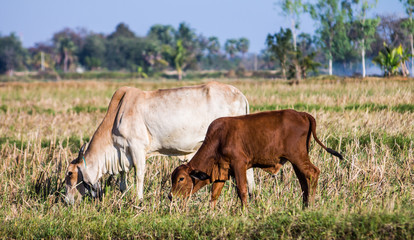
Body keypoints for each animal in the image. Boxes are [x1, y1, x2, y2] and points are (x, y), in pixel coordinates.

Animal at [65, 81, 254, 203]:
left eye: (70, 174)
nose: (67, 201)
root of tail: (241, 95)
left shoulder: (137, 148)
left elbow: (139, 175)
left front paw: (139, 201)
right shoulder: (124, 153)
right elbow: (122, 181)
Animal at [168, 109, 342, 207]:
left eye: (181, 179)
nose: (170, 196)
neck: (218, 139)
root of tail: (302, 114)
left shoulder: (239, 164)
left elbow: (242, 190)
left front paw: (244, 212)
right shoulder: (222, 172)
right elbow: (214, 195)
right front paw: (211, 214)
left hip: (298, 156)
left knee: (313, 173)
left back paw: (310, 205)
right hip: (297, 160)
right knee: (304, 180)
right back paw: (305, 205)